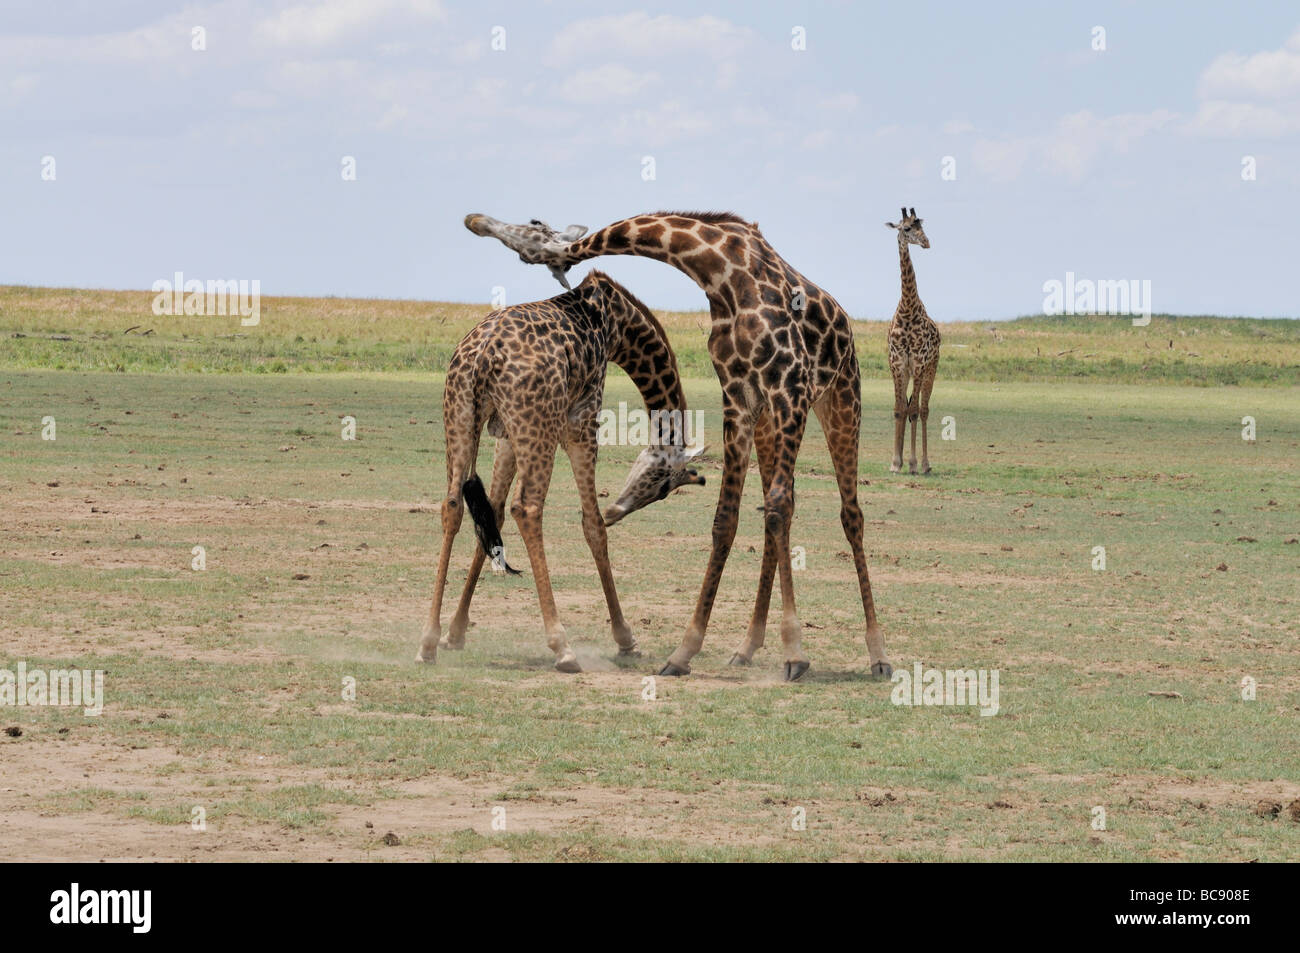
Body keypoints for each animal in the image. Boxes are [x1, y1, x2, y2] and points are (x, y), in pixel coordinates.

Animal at [416, 269, 706, 673]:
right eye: (663, 487)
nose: (620, 509)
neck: (617, 324)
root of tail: (484, 355)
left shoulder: (506, 435)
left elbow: (494, 513)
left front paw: (455, 633)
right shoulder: (581, 423)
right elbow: (592, 525)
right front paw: (626, 639)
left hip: (461, 418)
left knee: (453, 507)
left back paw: (427, 641)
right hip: (539, 427)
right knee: (528, 508)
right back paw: (562, 646)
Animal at [463, 211, 893, 681]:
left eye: (531, 233)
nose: (474, 220)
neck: (724, 275)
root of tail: (844, 319)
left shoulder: (789, 391)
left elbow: (779, 508)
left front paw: (795, 653)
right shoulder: (740, 398)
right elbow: (728, 519)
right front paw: (685, 652)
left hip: (840, 397)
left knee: (849, 514)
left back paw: (878, 655)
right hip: (770, 423)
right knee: (778, 510)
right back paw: (747, 647)